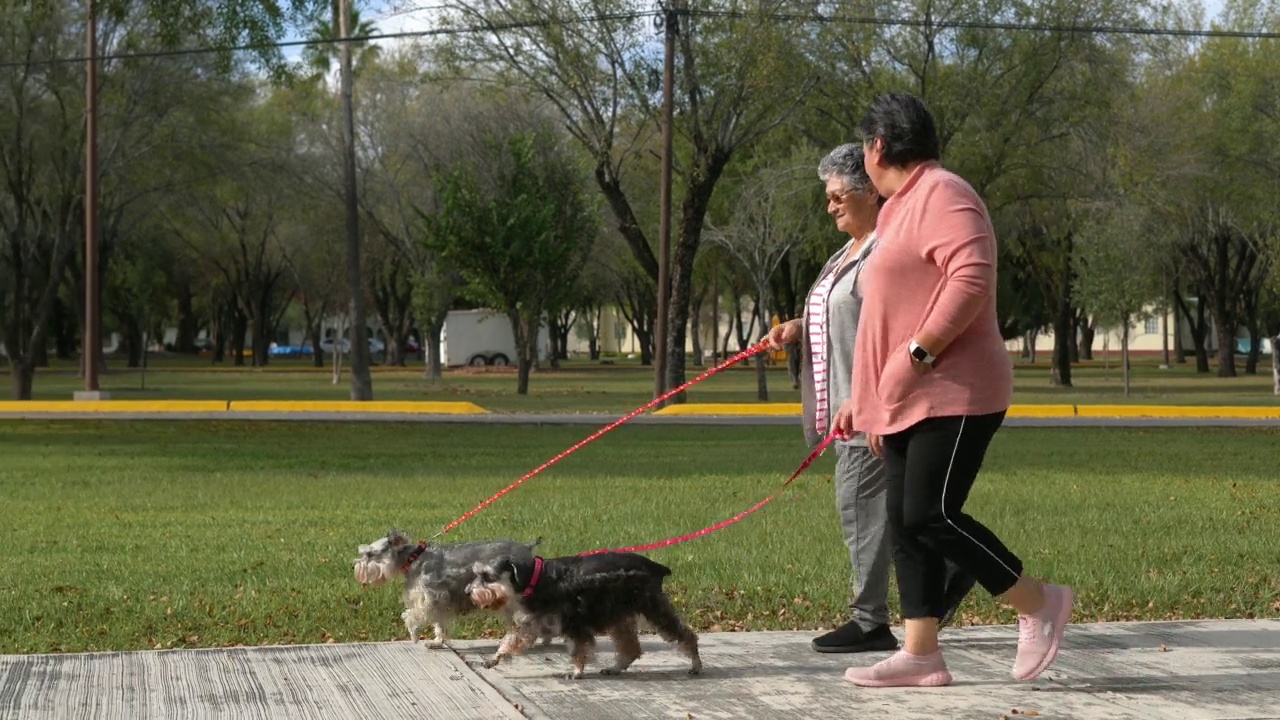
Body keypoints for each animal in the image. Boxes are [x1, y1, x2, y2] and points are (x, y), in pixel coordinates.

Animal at [353, 527, 547, 645]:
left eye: (370, 554)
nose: (355, 565)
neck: (413, 559)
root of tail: (527, 548)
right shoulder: (439, 603)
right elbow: (439, 623)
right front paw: (438, 641)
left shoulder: (431, 598)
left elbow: (412, 615)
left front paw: (414, 634)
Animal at [465, 548, 701, 676]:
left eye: (487, 576)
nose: (468, 592)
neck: (536, 579)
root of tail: (657, 567)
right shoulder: (530, 624)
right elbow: (509, 641)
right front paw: (495, 658)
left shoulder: (573, 623)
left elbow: (579, 650)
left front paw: (577, 671)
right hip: (619, 616)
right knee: (631, 647)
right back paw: (615, 668)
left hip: (653, 610)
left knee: (686, 635)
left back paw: (696, 664)